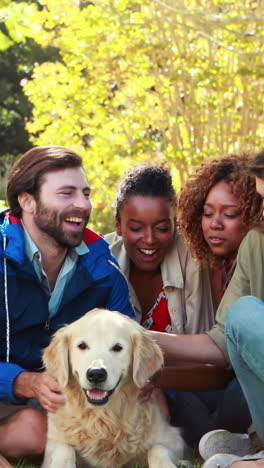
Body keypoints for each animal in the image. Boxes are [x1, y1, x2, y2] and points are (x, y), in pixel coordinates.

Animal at [41, 308, 186, 466]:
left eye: (117, 348)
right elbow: (65, 451)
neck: (104, 419)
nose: (96, 374)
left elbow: (157, 449)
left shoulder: (174, 439)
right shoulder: (54, 442)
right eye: (82, 345)